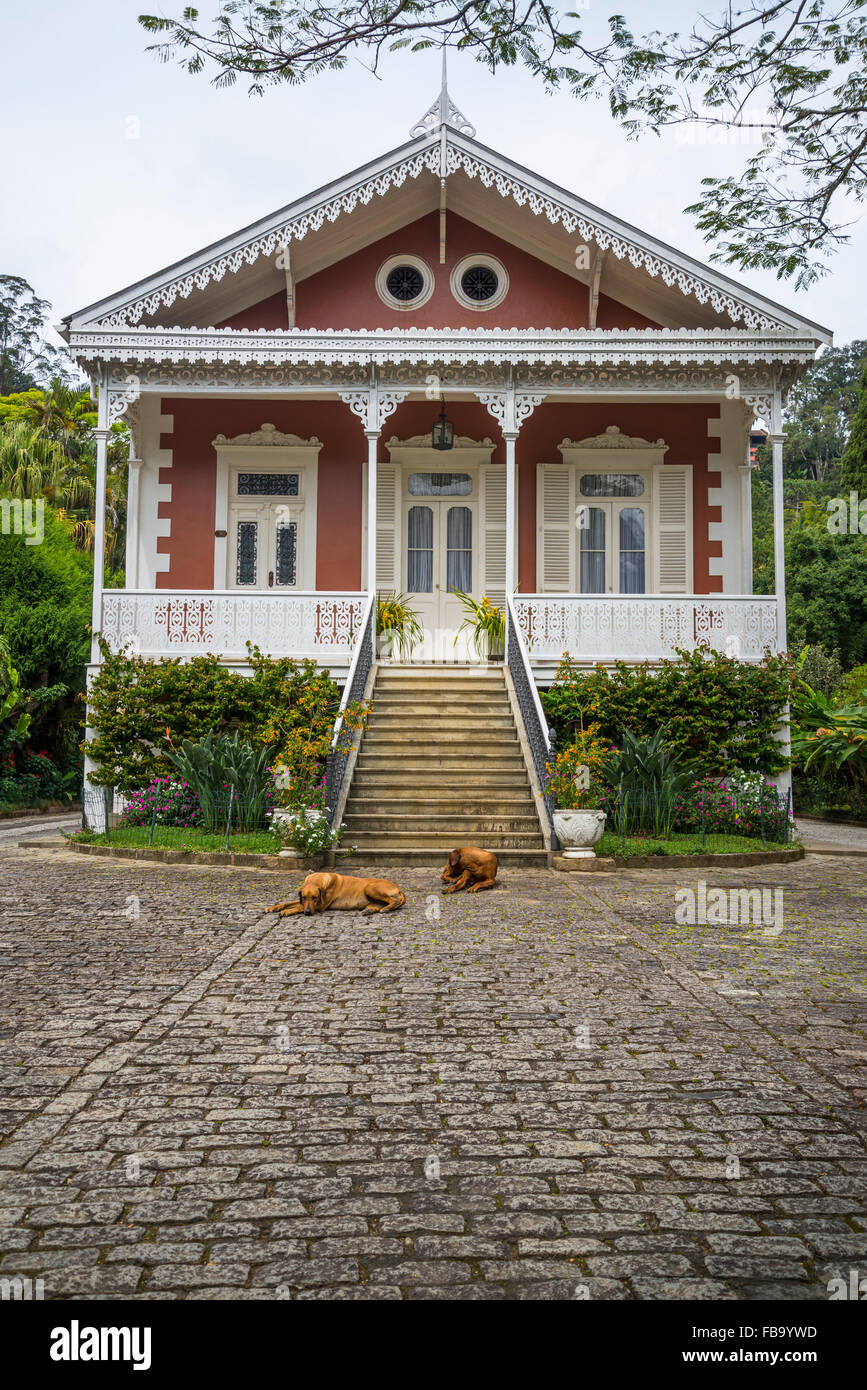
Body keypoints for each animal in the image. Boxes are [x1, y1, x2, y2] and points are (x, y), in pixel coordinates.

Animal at [268, 872, 405, 917]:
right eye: (304, 897)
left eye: (315, 898)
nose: (307, 913)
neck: (316, 880)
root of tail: (399, 888)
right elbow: (290, 902)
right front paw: (273, 907)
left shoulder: (320, 906)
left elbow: (297, 906)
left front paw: (287, 911)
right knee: (379, 904)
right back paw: (369, 910)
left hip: (370, 888)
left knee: (394, 901)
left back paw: (386, 908)